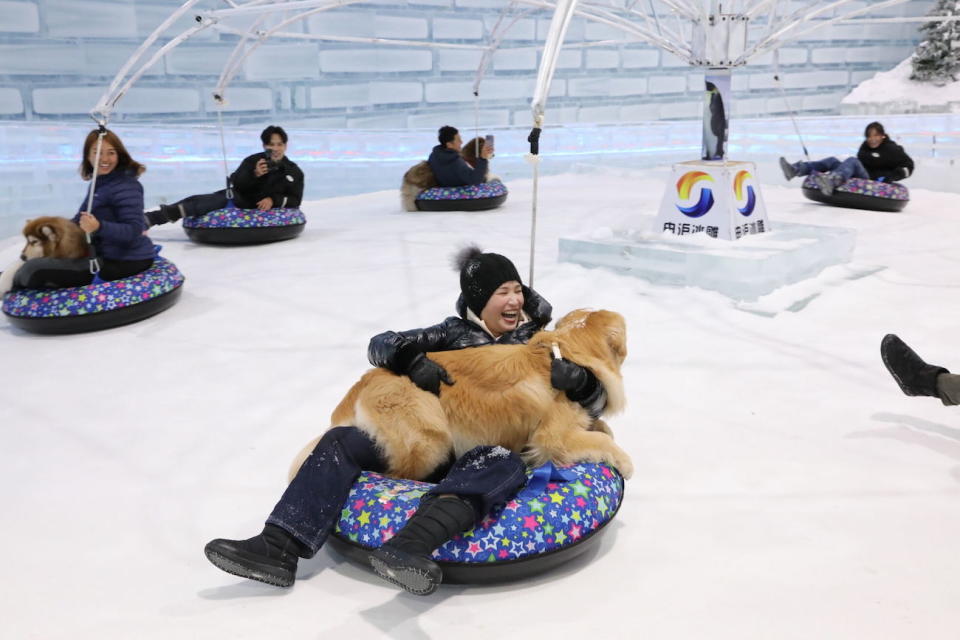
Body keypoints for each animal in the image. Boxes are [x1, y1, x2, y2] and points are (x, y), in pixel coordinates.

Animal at [290, 308, 636, 482]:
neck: (566, 353)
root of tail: (364, 381)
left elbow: (602, 429)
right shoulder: (551, 438)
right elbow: (602, 442)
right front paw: (624, 462)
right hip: (429, 443)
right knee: (392, 473)